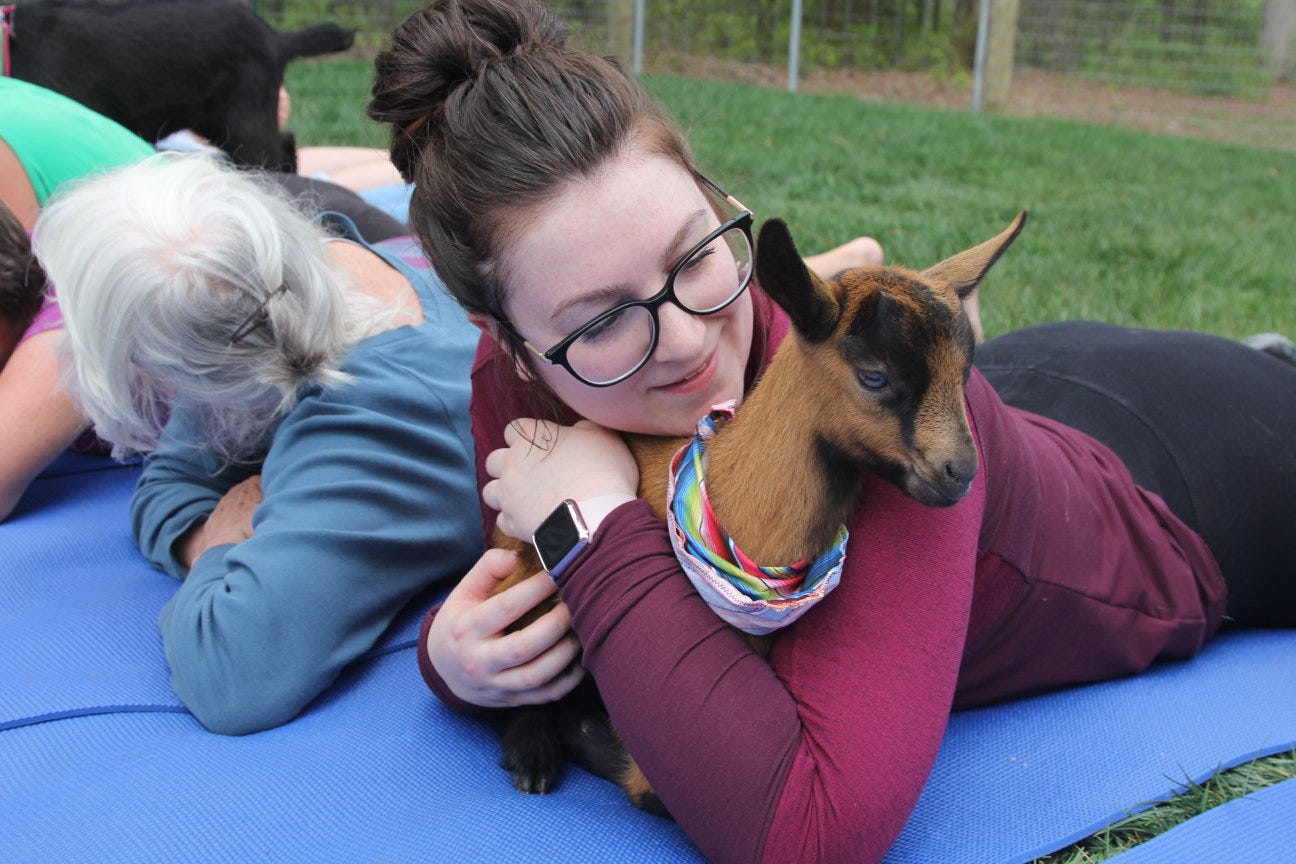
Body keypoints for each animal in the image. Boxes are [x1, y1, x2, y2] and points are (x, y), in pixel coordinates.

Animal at [487, 210, 1028, 814]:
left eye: (965, 374)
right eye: (874, 376)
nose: (962, 472)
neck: (733, 495)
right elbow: (643, 786)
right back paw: (532, 753)